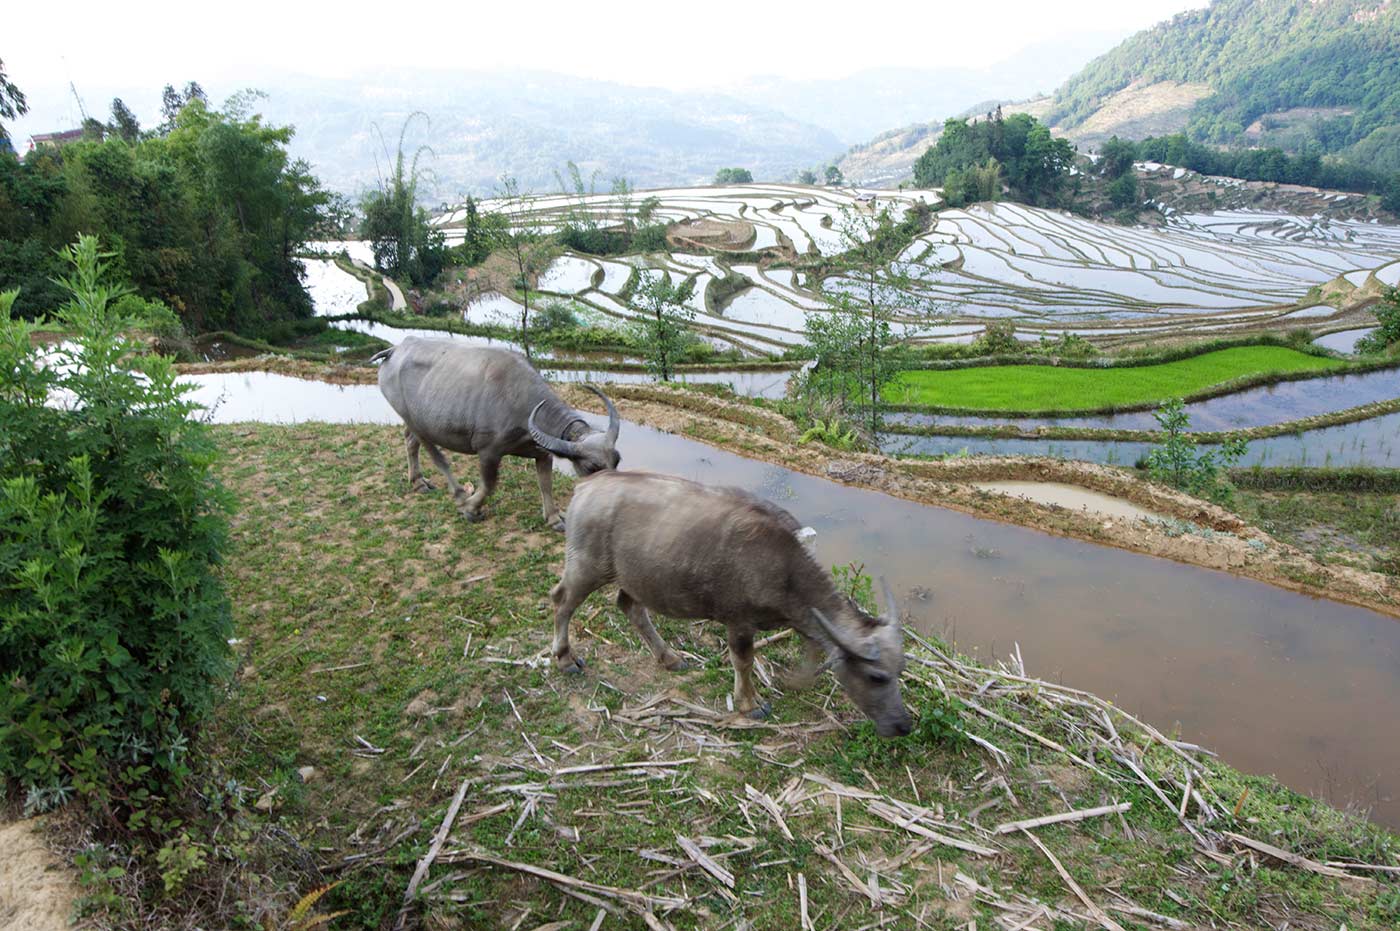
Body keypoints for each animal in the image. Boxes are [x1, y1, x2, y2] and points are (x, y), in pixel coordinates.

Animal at [372, 336, 618, 526]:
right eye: (592, 467)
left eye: (616, 460)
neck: (521, 404)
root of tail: (395, 349)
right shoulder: (488, 452)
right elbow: (489, 484)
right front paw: (471, 508)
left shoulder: (542, 453)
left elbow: (545, 483)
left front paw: (554, 518)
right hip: (411, 418)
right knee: (436, 456)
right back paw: (459, 494)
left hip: (416, 420)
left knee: (410, 441)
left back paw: (418, 481)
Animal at [551, 473, 912, 733]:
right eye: (876, 677)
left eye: (900, 670)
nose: (903, 725)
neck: (785, 567)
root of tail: (586, 485)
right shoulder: (739, 622)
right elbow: (744, 661)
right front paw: (750, 704)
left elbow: (812, 648)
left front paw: (794, 681)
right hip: (587, 567)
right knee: (562, 601)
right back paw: (565, 658)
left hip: (635, 578)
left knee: (630, 606)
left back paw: (669, 657)